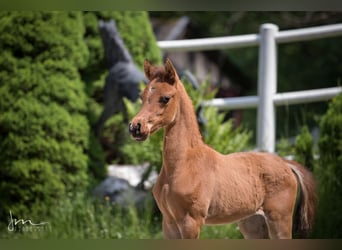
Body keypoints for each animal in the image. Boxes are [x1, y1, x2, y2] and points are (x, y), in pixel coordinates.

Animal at [130, 58, 316, 238]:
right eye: (142, 96)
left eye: (165, 98)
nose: (136, 127)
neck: (182, 164)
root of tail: (286, 163)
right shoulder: (169, 223)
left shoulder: (191, 222)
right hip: (252, 223)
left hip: (279, 219)